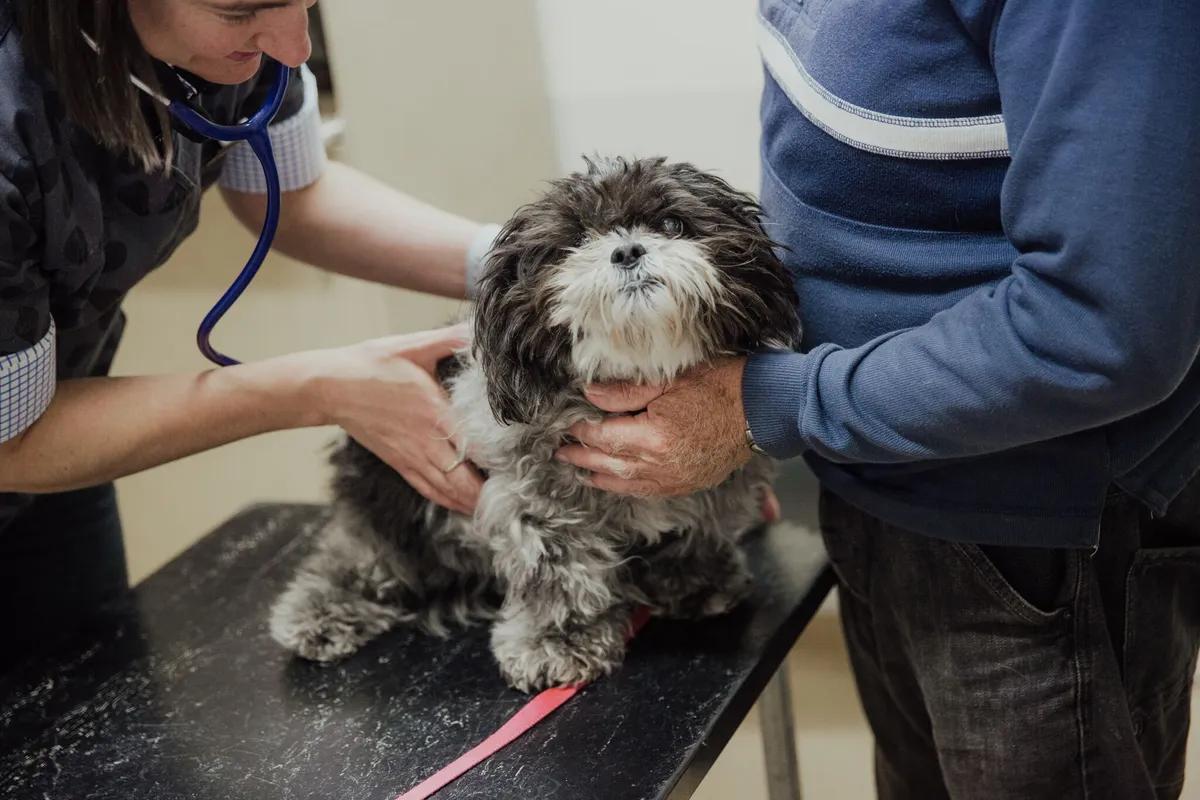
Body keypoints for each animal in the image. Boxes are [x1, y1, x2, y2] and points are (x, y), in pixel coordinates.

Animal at [268, 156, 801, 692]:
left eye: (671, 223)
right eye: (577, 240)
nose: (627, 250)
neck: (634, 375)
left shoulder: (716, 480)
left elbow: (701, 529)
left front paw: (696, 580)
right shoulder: (533, 498)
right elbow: (557, 573)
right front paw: (558, 642)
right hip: (389, 502)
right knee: (354, 559)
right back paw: (320, 613)